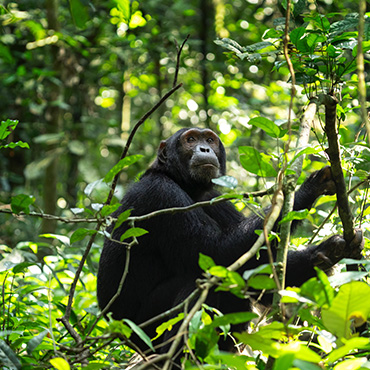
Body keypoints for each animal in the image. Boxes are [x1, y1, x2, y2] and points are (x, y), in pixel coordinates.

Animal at [97, 129, 362, 352]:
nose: (205, 148)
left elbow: (257, 273)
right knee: (201, 283)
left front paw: (330, 251)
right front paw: (310, 186)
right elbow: (216, 251)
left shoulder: (216, 198)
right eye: (190, 139)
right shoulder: (161, 195)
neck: (185, 185)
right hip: (146, 331)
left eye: (210, 139)